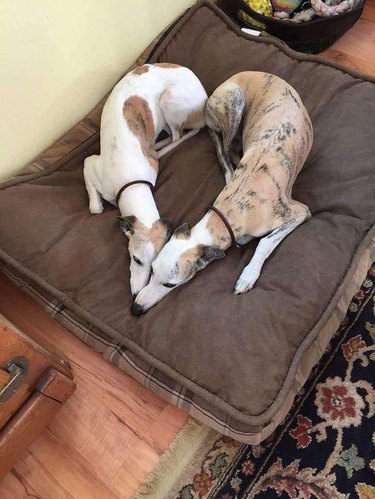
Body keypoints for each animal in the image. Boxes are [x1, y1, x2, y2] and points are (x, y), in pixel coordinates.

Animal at [82, 62, 210, 296]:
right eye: (136, 259)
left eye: (153, 267)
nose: (135, 295)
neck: (132, 184)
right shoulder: (90, 163)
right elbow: (95, 208)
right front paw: (98, 204)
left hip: (169, 101)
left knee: (176, 136)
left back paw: (157, 147)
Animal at [132, 72, 314, 314]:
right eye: (151, 270)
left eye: (170, 284)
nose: (135, 309)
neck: (231, 211)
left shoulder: (299, 212)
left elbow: (265, 243)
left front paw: (247, 277)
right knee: (224, 150)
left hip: (235, 104)